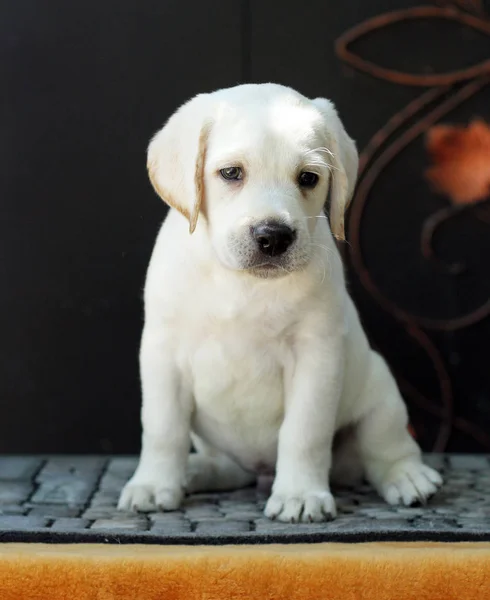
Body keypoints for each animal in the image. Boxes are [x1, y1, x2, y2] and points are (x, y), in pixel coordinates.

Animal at [119, 82, 444, 524]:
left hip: (379, 391)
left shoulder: (316, 355)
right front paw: (153, 484)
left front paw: (300, 494)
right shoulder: (162, 353)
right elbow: (162, 428)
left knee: (386, 446)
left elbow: (304, 433)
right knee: (225, 466)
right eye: (231, 173)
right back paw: (195, 472)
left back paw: (409, 477)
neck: (241, 283)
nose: (273, 236)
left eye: (308, 178)